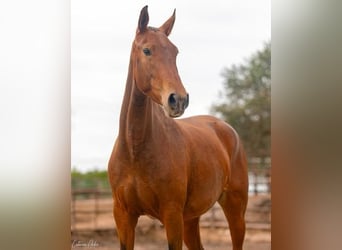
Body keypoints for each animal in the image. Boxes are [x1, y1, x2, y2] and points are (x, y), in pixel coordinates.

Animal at [107, 5, 248, 250]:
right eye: (147, 50)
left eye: (175, 52)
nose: (179, 100)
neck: (135, 151)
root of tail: (226, 129)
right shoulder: (123, 216)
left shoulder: (171, 216)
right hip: (191, 219)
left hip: (235, 210)